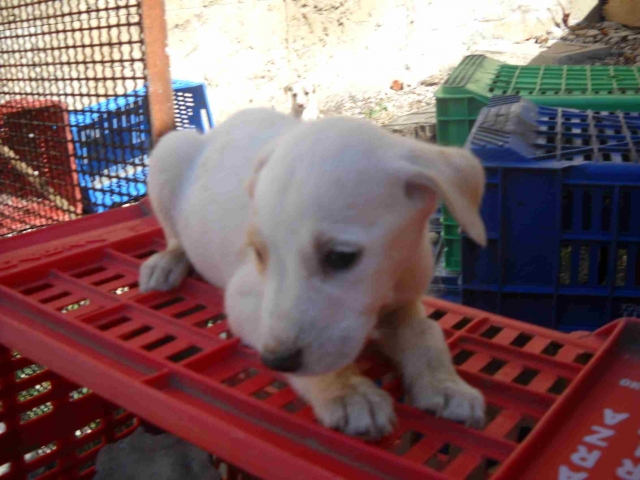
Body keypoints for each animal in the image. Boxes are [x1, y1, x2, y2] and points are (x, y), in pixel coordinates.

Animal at [139, 109, 484, 438]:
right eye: (260, 253)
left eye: (339, 257)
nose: (276, 362)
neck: (387, 285)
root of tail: (223, 126)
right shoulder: (243, 298)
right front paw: (348, 393)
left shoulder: (405, 300)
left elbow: (426, 333)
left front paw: (447, 385)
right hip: (169, 153)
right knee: (174, 236)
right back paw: (165, 263)